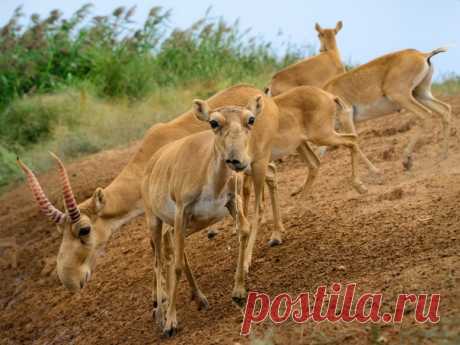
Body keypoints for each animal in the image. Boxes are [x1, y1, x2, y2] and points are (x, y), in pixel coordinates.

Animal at [140, 95, 264, 334]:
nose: (235, 160)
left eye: (251, 119)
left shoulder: (232, 202)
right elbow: (176, 265)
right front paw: (170, 322)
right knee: (159, 259)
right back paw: (160, 311)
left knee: (173, 251)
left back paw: (199, 298)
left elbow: (244, 231)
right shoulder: (182, 211)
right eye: (214, 122)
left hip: (182, 225)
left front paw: (238, 291)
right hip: (155, 221)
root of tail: (153, 162)